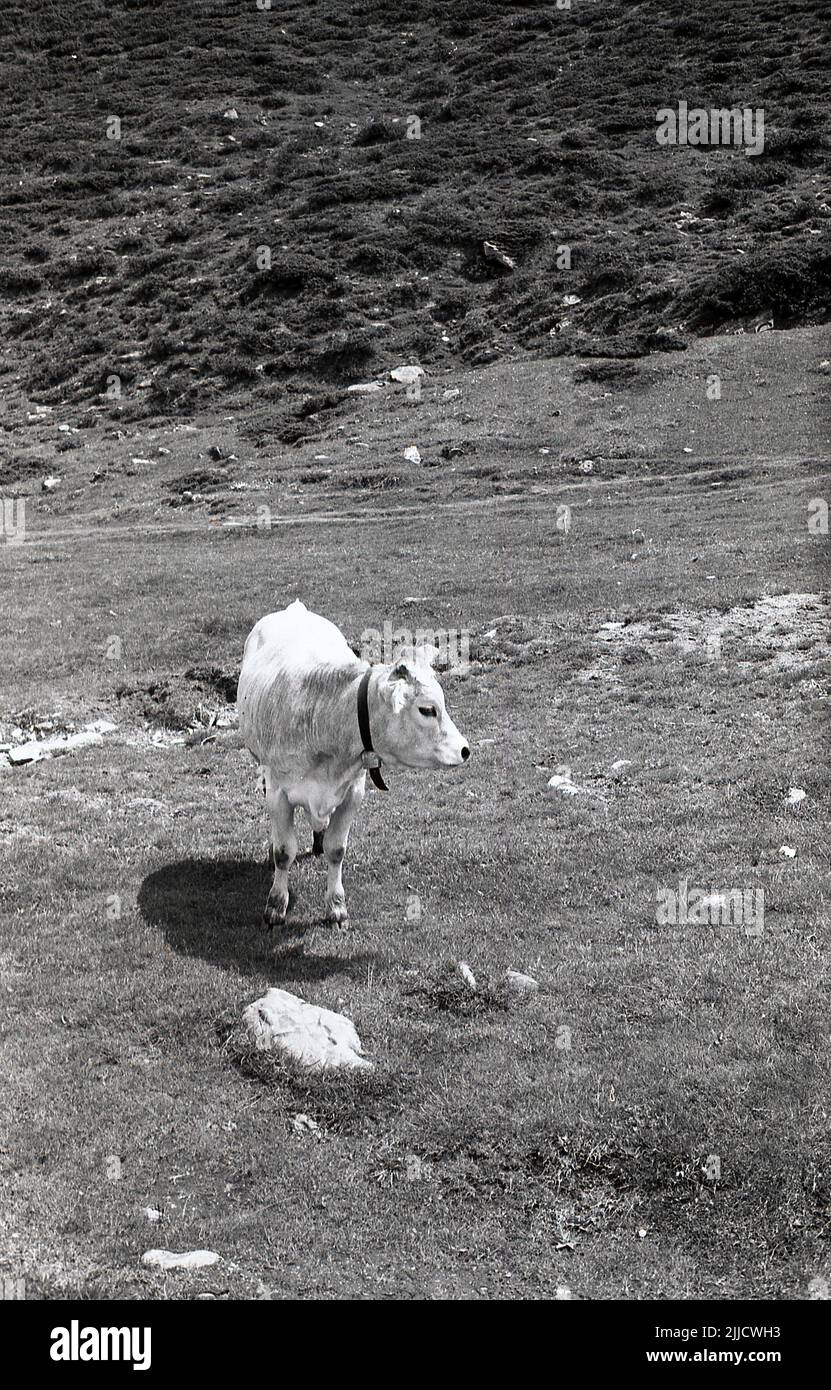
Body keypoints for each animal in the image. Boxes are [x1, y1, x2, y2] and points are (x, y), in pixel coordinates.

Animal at [237, 603, 472, 928]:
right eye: (427, 709)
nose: (464, 750)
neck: (322, 717)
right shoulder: (278, 793)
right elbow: (283, 852)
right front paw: (275, 907)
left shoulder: (352, 792)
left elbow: (337, 850)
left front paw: (336, 907)